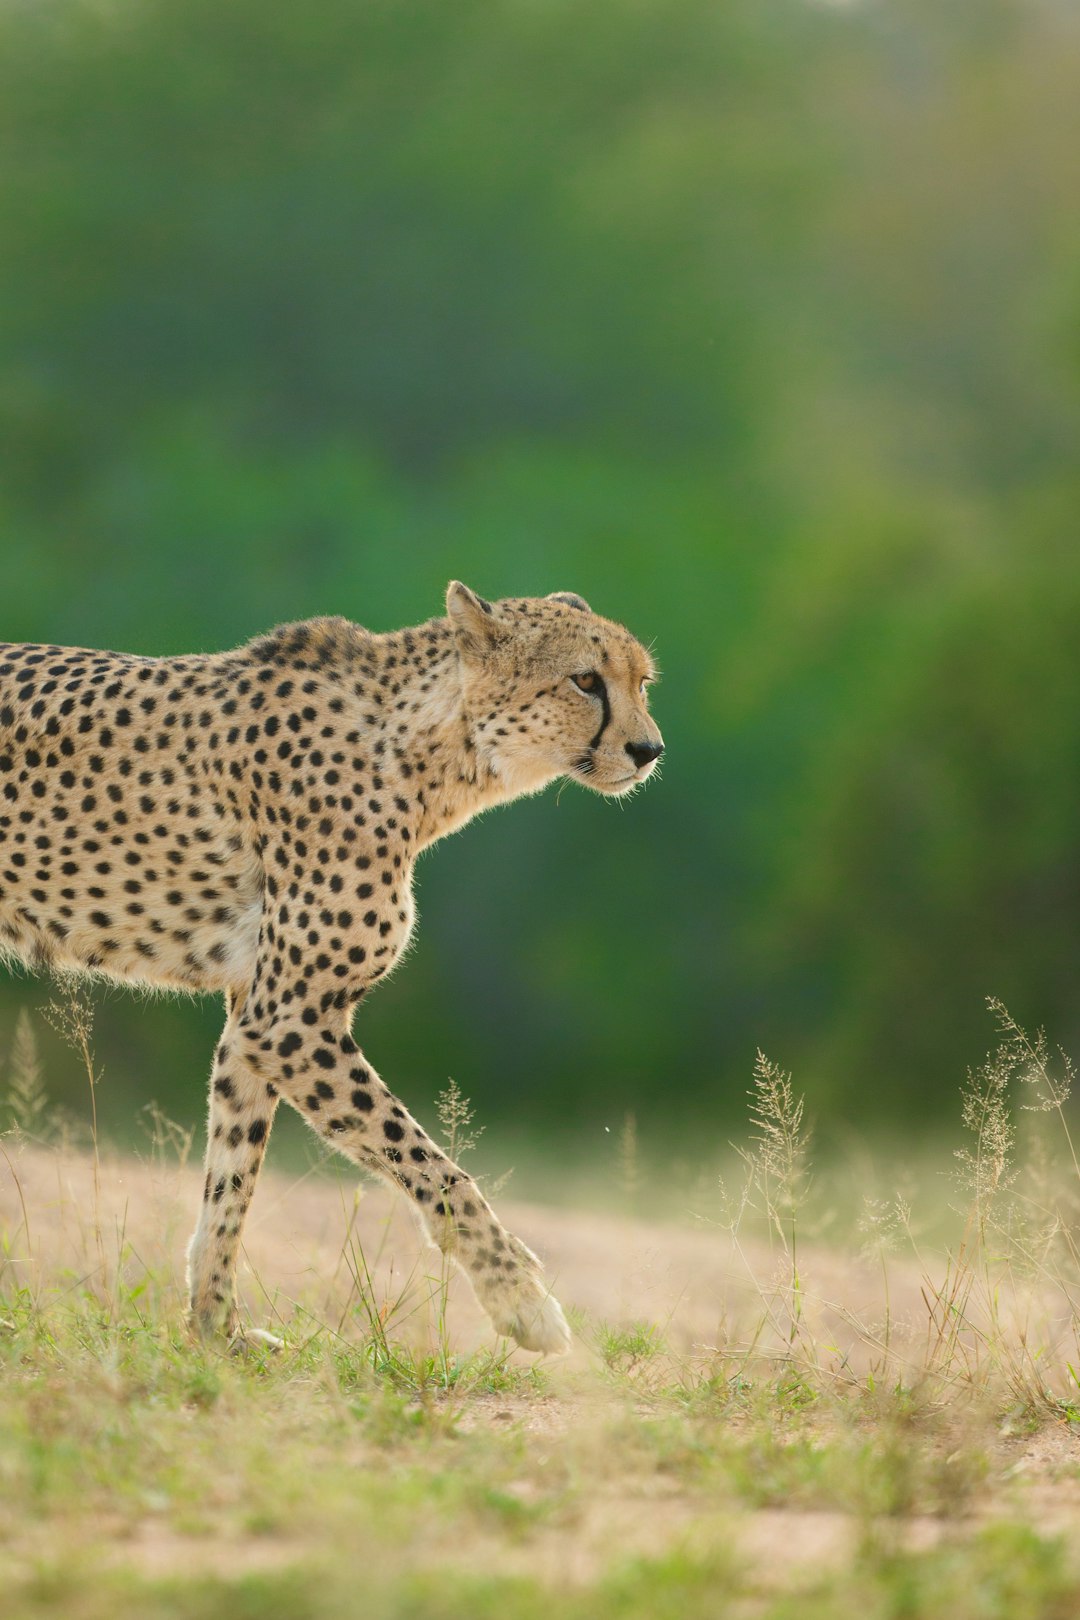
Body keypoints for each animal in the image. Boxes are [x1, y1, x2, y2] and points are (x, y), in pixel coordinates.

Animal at [0, 586, 663, 1354]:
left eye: (641, 682)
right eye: (585, 680)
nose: (650, 750)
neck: (426, 751)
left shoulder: (254, 1019)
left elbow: (231, 1180)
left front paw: (216, 1331)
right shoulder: (290, 1020)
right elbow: (435, 1167)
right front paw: (523, 1302)